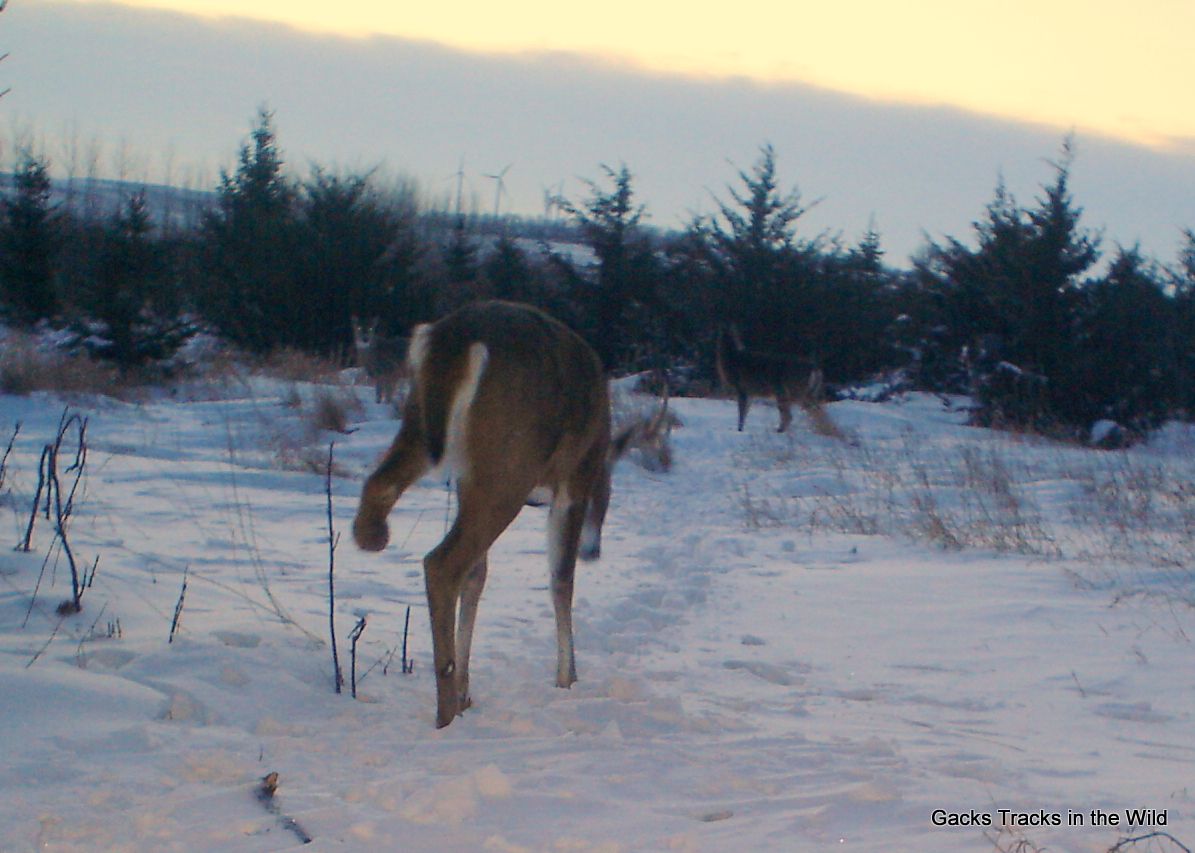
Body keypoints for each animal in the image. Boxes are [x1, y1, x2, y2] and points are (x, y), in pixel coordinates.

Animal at [348, 298, 669, 726]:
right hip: (510, 463)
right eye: (605, 498)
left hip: (427, 429)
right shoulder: (575, 478)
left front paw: (468, 688)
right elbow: (561, 579)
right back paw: (446, 711)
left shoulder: (465, 479)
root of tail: (458, 337)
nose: (594, 551)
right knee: (443, 561)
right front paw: (567, 678)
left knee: (379, 491)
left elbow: (479, 576)